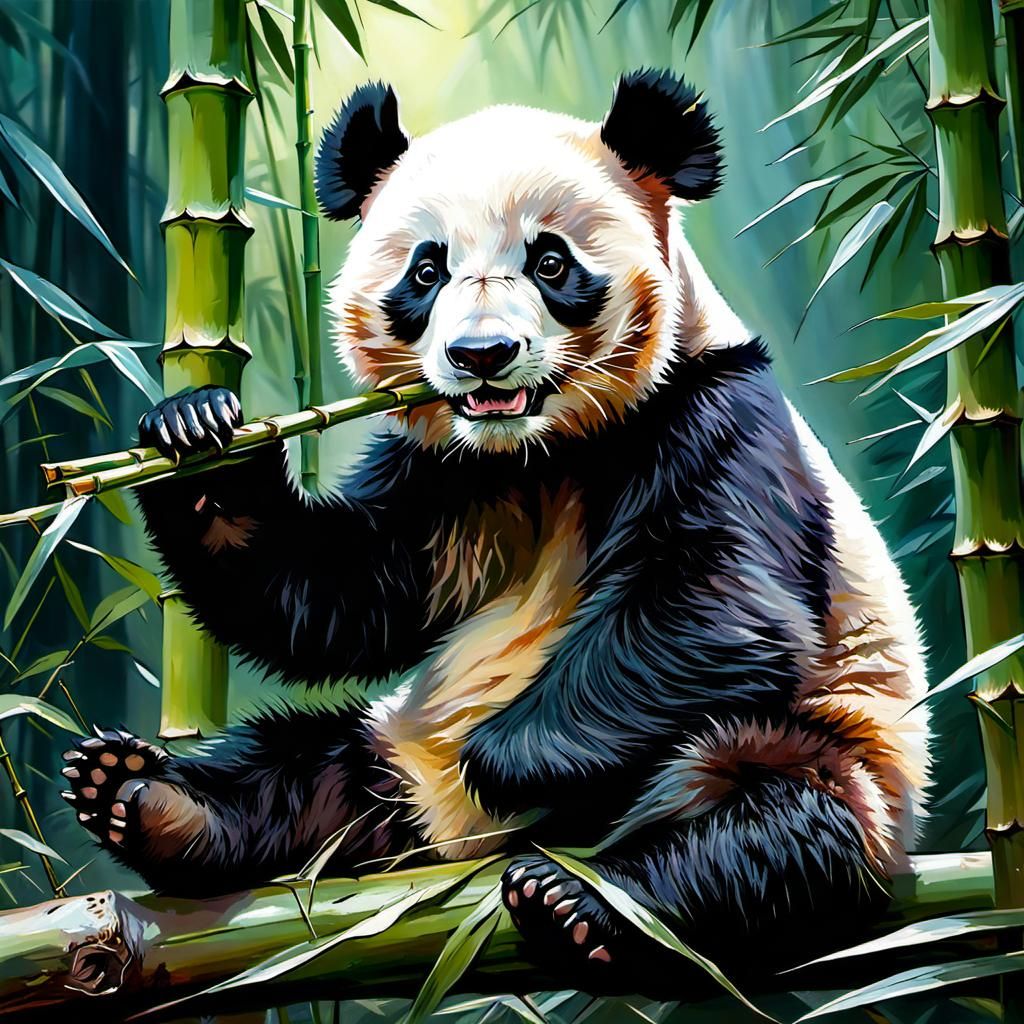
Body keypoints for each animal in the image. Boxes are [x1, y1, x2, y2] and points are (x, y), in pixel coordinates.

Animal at [61, 69, 930, 986]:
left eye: (549, 261)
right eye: (426, 269)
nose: (482, 356)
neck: (538, 453)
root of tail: (447, 845)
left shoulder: (715, 417)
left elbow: (720, 604)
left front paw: (504, 755)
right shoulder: (444, 474)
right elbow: (340, 598)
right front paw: (196, 436)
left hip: (823, 756)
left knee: (762, 839)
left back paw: (579, 901)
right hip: (389, 754)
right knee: (304, 772)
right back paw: (144, 797)